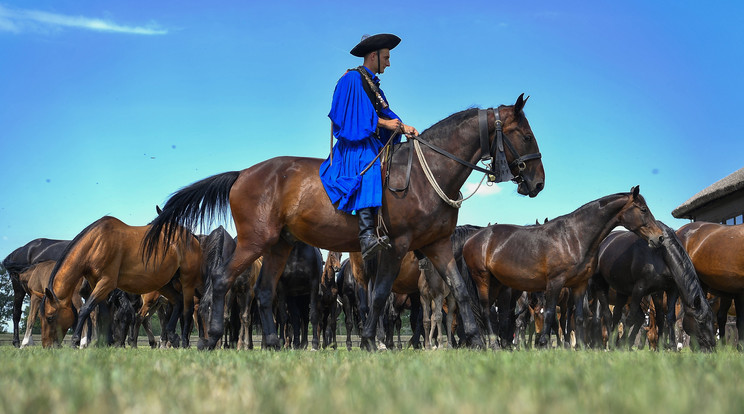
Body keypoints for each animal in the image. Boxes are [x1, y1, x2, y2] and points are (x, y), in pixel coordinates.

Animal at [39, 215, 203, 348]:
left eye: (50, 317)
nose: (47, 346)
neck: (96, 243)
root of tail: (192, 237)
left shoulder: (106, 283)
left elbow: (85, 310)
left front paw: (75, 341)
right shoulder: (96, 284)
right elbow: (105, 314)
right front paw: (105, 343)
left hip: (187, 282)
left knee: (187, 310)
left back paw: (185, 342)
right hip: (163, 285)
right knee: (177, 302)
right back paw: (172, 337)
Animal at [142, 95, 544, 350]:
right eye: (525, 134)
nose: (538, 182)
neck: (426, 174)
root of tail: (243, 174)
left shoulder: (438, 245)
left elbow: (460, 290)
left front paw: (478, 340)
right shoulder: (396, 246)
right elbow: (378, 296)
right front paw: (369, 340)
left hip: (278, 246)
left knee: (266, 292)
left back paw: (271, 343)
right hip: (254, 242)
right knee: (222, 281)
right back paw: (210, 338)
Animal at [464, 188, 664, 350]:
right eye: (643, 210)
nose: (660, 237)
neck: (574, 237)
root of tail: (472, 239)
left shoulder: (579, 285)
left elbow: (580, 318)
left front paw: (581, 347)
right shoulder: (555, 282)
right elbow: (550, 314)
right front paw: (543, 344)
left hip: (496, 283)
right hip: (482, 279)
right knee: (485, 310)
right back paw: (494, 345)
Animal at [592, 222, 716, 350]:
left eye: (712, 319)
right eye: (701, 322)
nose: (711, 344)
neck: (661, 253)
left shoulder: (668, 290)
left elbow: (667, 317)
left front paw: (668, 345)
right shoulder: (642, 289)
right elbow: (633, 317)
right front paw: (622, 343)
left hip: (622, 291)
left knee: (617, 313)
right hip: (601, 286)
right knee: (607, 314)